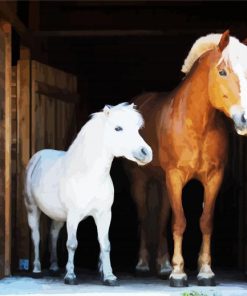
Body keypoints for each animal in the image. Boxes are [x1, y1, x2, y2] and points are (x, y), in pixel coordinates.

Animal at [25, 103, 152, 286]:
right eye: (118, 128)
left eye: (137, 129)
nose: (146, 152)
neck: (88, 175)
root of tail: (37, 157)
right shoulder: (73, 215)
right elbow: (72, 244)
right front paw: (70, 276)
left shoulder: (104, 214)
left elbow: (105, 244)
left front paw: (110, 277)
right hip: (32, 209)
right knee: (36, 236)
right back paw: (36, 270)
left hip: (58, 216)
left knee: (53, 235)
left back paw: (55, 268)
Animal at [128, 30, 247, 286]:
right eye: (222, 71)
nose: (244, 118)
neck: (196, 123)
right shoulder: (175, 176)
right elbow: (180, 222)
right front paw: (179, 273)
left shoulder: (213, 178)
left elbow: (205, 221)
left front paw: (205, 271)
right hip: (141, 181)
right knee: (143, 217)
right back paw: (142, 265)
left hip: (162, 182)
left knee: (161, 218)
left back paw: (163, 266)